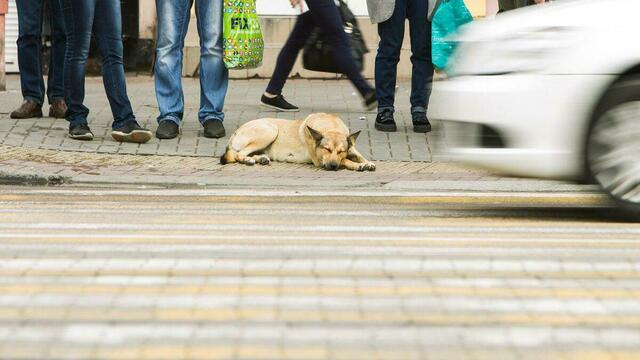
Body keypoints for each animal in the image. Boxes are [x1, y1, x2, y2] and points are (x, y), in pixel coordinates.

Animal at [222, 113, 378, 171]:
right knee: (238, 154)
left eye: (341, 151)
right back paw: (248, 160)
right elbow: (345, 161)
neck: (331, 126)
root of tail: (235, 132)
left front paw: (366, 162)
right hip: (270, 130)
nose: (333, 166)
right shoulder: (320, 161)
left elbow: (358, 155)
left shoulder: (351, 148)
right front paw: (357, 165)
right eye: (326, 149)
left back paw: (261, 159)